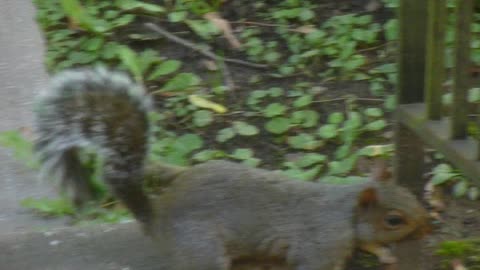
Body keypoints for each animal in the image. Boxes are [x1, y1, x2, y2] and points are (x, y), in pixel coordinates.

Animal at [33, 67, 432, 270]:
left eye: (409, 193)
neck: (343, 209)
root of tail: (156, 219)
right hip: (204, 250)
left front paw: (383, 253)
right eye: (394, 219)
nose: (427, 226)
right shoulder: (318, 246)